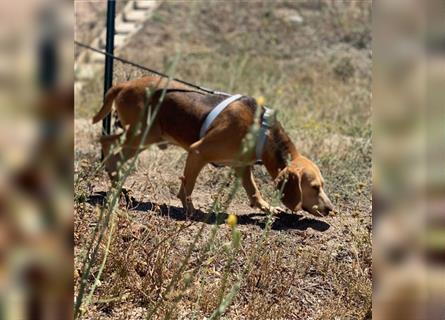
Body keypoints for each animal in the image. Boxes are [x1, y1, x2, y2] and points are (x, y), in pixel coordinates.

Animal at [91, 76, 332, 216]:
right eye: (314, 187)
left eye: (322, 185)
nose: (331, 209)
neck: (263, 132)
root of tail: (126, 84)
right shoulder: (198, 151)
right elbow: (187, 187)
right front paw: (190, 210)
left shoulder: (242, 166)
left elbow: (254, 192)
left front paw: (267, 208)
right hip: (142, 135)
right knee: (109, 146)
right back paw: (115, 180)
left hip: (146, 136)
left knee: (108, 143)